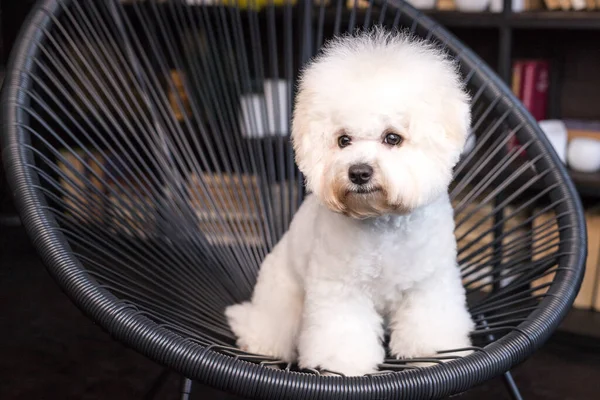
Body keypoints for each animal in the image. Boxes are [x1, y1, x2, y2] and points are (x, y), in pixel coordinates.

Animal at [224, 28, 474, 376]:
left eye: (392, 138)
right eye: (343, 140)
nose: (358, 172)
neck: (381, 221)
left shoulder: (429, 284)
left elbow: (430, 326)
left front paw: (433, 354)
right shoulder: (340, 291)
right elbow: (342, 335)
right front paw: (343, 366)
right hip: (281, 298)